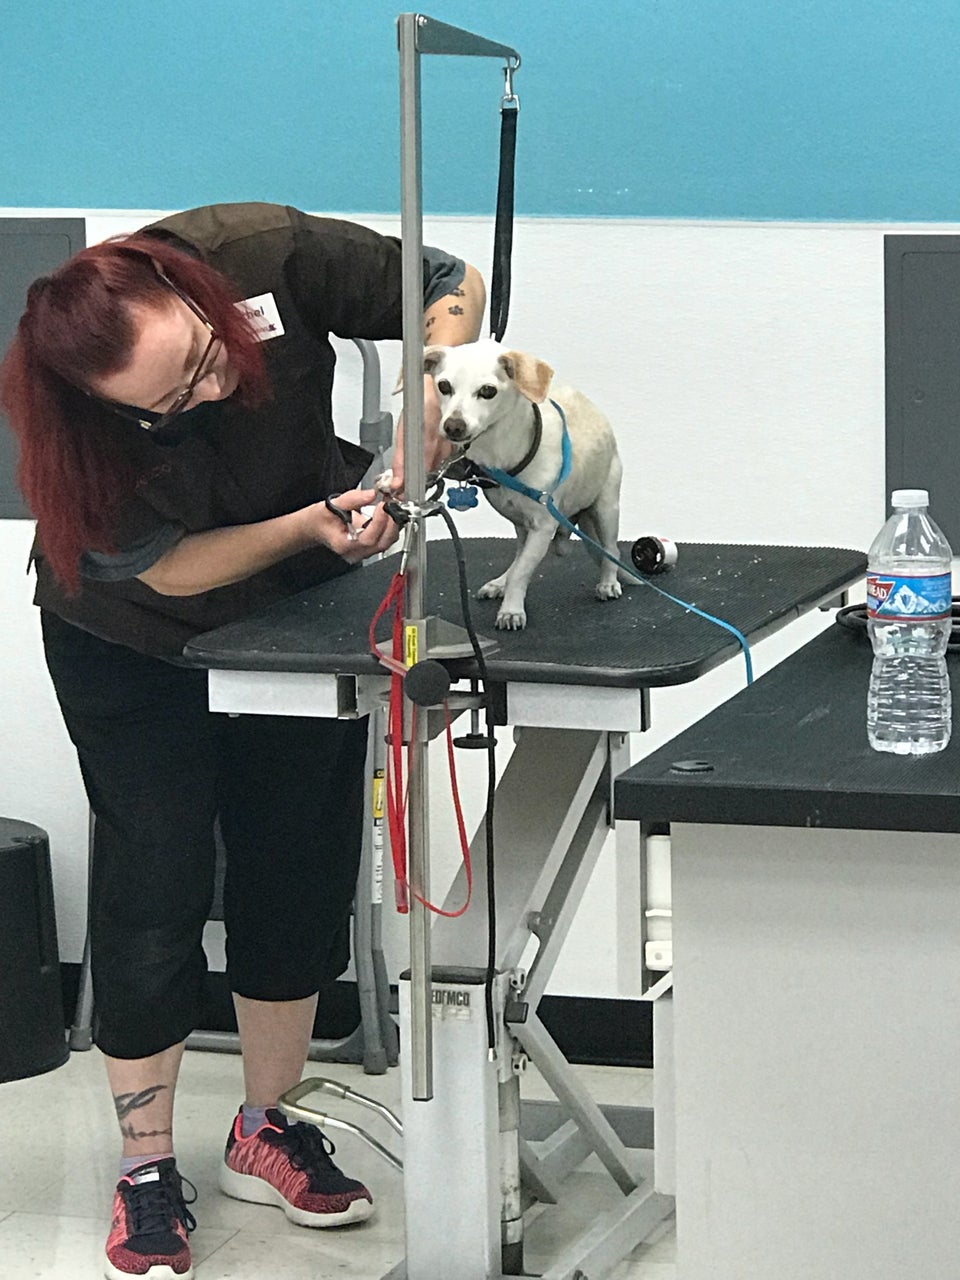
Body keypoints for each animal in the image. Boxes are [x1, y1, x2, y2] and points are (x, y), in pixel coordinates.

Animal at [418, 339, 624, 630]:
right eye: (444, 386)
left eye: (488, 391)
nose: (453, 426)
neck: (499, 450)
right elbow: (519, 567)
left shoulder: (542, 527)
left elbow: (522, 573)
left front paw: (511, 610)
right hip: (522, 525)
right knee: (517, 558)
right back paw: (500, 582)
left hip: (606, 508)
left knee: (610, 549)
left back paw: (608, 582)